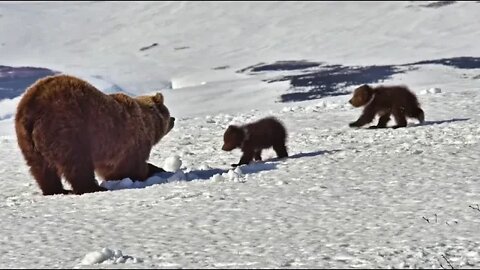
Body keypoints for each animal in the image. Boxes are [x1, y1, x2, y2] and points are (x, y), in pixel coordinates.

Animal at [14, 75, 176, 195]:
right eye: (168, 113)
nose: (174, 119)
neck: (149, 123)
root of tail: (33, 107)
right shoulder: (128, 141)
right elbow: (130, 167)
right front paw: (154, 171)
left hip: (26, 140)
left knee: (41, 169)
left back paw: (56, 190)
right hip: (69, 127)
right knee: (77, 164)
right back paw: (93, 188)